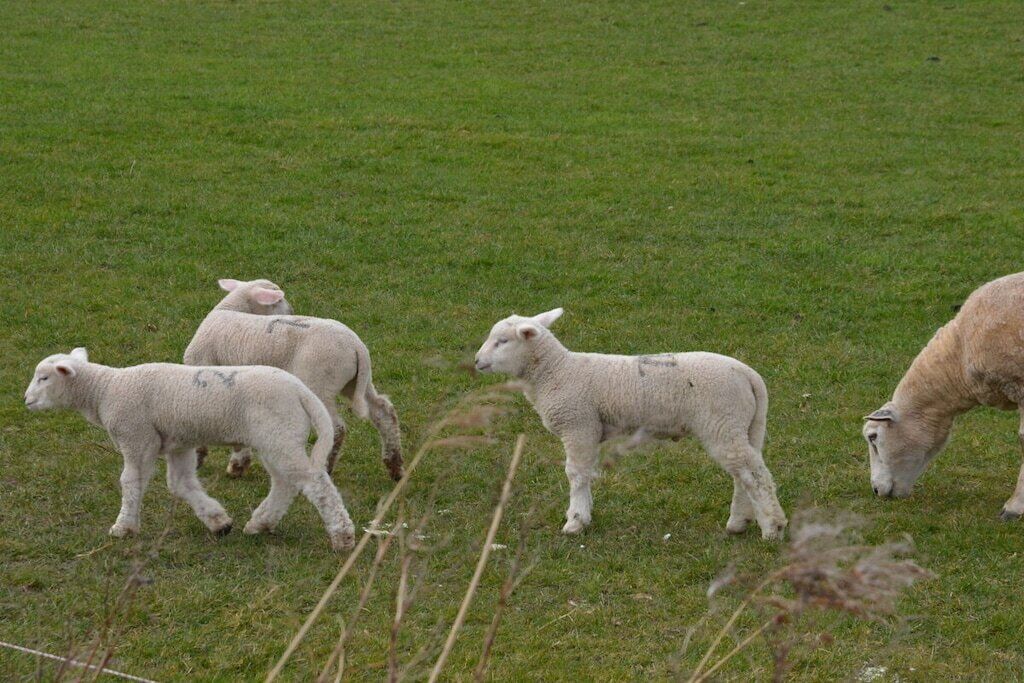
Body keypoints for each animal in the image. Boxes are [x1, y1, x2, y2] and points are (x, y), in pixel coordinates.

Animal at [23, 348, 356, 551]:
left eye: (44, 377)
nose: (26, 401)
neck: (105, 390)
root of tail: (302, 391)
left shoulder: (137, 438)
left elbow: (130, 483)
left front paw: (124, 527)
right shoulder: (179, 443)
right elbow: (181, 484)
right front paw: (219, 522)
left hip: (279, 435)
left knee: (315, 484)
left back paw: (342, 537)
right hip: (277, 438)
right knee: (286, 483)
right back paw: (260, 523)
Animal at [183, 278, 403, 481]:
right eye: (279, 299)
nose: (291, 311)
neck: (229, 309)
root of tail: (356, 346)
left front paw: (204, 459)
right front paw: (238, 464)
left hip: (321, 383)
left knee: (336, 428)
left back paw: (326, 468)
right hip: (357, 382)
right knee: (383, 411)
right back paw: (395, 466)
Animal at [473, 309, 788, 539]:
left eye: (502, 341)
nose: (476, 361)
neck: (556, 372)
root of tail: (749, 375)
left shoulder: (578, 425)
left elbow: (576, 474)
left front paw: (575, 522)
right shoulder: (590, 429)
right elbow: (588, 473)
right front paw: (585, 515)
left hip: (722, 421)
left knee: (754, 475)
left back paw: (772, 527)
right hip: (743, 426)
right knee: (745, 472)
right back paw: (740, 522)